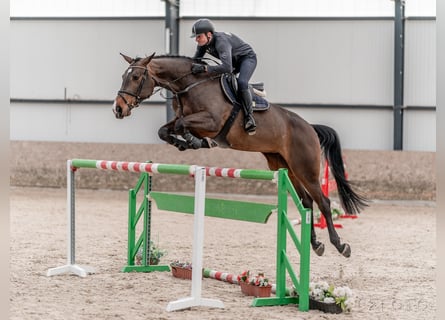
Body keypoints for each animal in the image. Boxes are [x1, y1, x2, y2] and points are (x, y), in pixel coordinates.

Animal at [112, 52, 366, 258]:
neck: (191, 85)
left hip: (305, 169)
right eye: (124, 76)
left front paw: (195, 141)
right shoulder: (182, 119)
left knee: (323, 202)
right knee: (306, 202)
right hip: (284, 167)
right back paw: (315, 244)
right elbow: (165, 130)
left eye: (136, 77)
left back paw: (340, 246)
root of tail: (310, 127)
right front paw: (184, 143)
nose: (118, 109)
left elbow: (184, 125)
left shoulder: (211, 122)